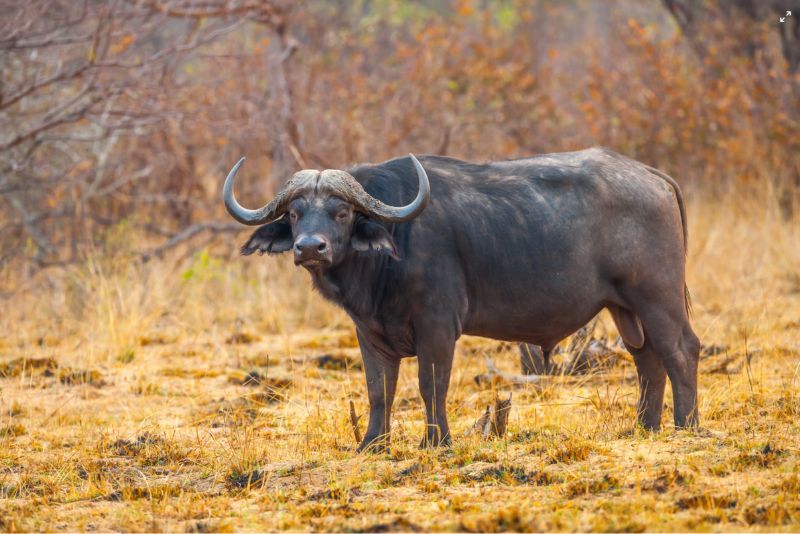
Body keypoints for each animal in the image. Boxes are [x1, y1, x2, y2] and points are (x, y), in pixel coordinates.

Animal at [223, 147, 700, 451]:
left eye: (341, 212)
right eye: (294, 213)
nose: (310, 247)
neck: (394, 248)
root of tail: (654, 177)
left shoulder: (437, 326)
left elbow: (431, 384)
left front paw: (436, 441)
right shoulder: (370, 333)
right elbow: (380, 390)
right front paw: (372, 444)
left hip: (657, 297)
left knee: (681, 350)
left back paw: (686, 425)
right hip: (625, 309)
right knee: (647, 359)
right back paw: (645, 427)